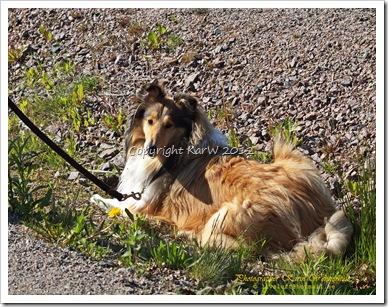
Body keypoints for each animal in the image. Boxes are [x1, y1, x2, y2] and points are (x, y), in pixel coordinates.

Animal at [91, 82, 354, 260]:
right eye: (150, 121)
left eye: (169, 125)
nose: (150, 148)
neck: (177, 152)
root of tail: (317, 219)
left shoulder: (141, 202)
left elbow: (116, 204)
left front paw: (96, 197)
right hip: (295, 160)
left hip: (231, 211)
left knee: (240, 248)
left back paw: (186, 234)